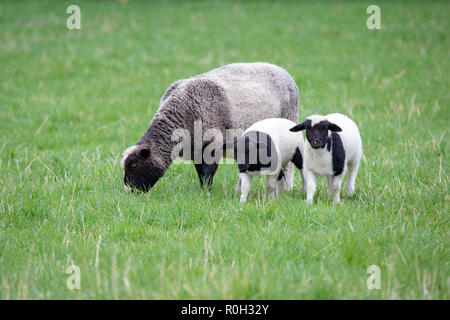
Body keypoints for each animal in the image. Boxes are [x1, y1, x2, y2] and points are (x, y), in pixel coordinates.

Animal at [122, 62, 298, 192]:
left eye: (133, 165)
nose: (130, 191)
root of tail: (282, 71)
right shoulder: (196, 148)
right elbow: (200, 171)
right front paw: (203, 189)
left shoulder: (212, 144)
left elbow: (208, 171)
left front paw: (207, 192)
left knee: (288, 165)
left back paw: (287, 188)